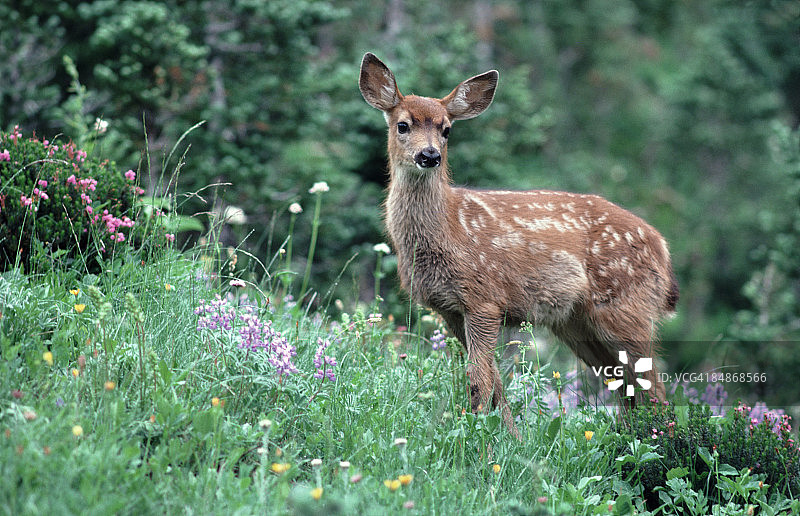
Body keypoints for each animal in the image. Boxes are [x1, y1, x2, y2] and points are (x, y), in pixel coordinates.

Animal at [359, 52, 679, 438]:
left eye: (446, 129)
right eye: (403, 125)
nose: (430, 155)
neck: (449, 227)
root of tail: (662, 249)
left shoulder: (483, 299)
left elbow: (479, 379)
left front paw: (479, 439)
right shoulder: (449, 308)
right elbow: (494, 380)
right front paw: (511, 437)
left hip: (626, 307)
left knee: (655, 386)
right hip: (576, 323)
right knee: (624, 385)